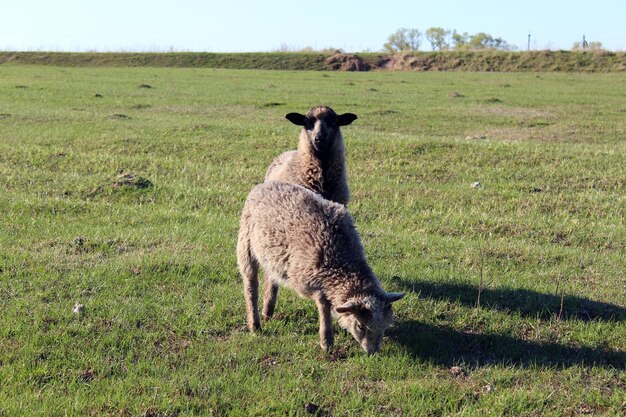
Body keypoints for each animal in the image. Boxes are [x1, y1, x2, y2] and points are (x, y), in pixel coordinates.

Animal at [235, 180, 404, 352]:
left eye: (385, 326)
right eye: (360, 326)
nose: (372, 352)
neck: (341, 264)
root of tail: (264, 184)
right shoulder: (311, 278)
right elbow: (324, 306)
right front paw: (326, 341)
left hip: (272, 255)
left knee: (271, 278)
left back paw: (267, 312)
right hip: (246, 246)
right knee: (251, 287)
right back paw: (255, 325)